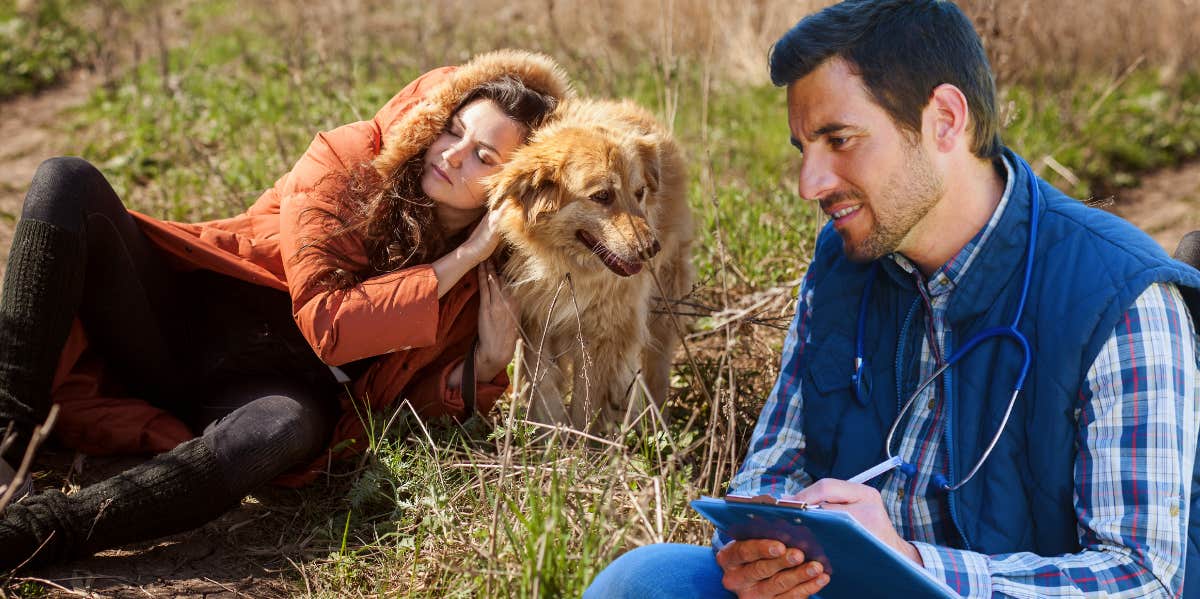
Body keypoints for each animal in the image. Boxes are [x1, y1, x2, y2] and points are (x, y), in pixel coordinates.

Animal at [484, 99, 696, 432]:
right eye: (602, 196)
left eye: (639, 193)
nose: (651, 249)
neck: (566, 266)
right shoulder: (536, 323)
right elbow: (544, 386)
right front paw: (549, 432)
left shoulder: (604, 335)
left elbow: (587, 405)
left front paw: (582, 442)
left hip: (664, 306)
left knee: (657, 367)